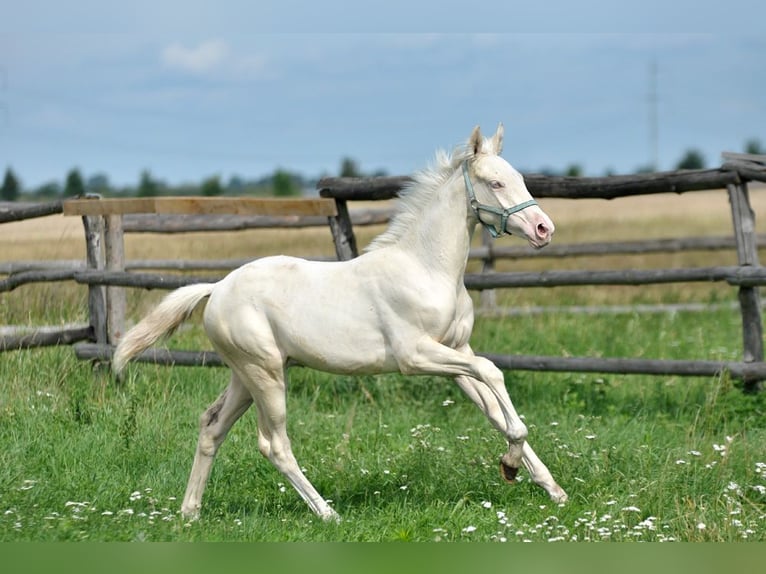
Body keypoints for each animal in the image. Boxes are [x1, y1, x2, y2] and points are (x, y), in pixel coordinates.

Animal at [113, 124, 568, 521]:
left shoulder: (456, 353)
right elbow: (493, 372)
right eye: (495, 183)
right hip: (265, 373)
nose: (544, 229)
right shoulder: (416, 356)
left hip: (246, 374)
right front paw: (512, 463)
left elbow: (493, 408)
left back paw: (189, 513)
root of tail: (217, 288)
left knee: (211, 427)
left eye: (519, 178)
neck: (426, 268)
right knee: (274, 444)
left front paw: (547, 485)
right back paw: (327, 513)